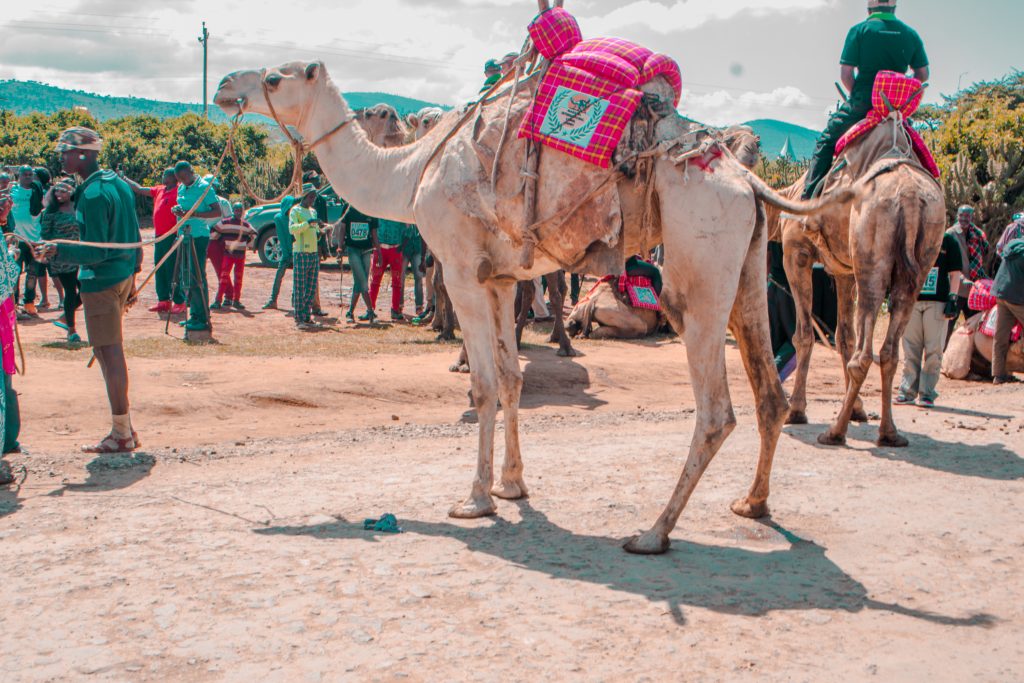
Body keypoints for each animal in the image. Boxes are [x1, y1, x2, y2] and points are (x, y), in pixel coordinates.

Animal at [218, 3, 856, 557]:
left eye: (273, 77)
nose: (225, 85)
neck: (411, 171)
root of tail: (749, 181)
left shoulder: (462, 270)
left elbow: (482, 386)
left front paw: (475, 500)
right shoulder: (500, 279)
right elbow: (511, 378)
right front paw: (512, 485)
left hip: (699, 271)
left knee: (717, 409)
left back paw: (653, 533)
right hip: (747, 266)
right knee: (768, 393)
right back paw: (752, 504)